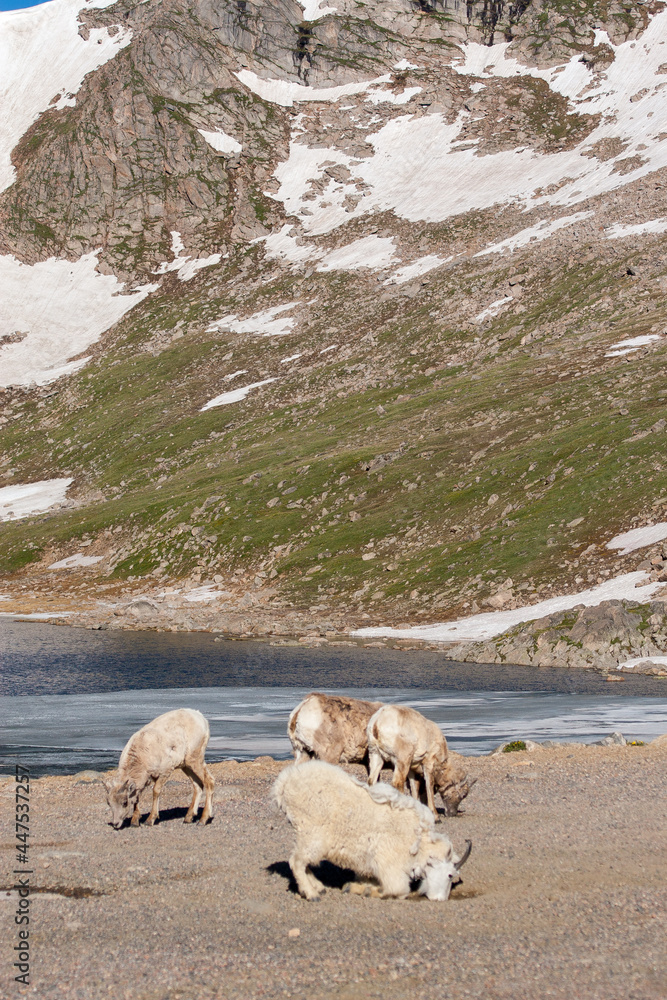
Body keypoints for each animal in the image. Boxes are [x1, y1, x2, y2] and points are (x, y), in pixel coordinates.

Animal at [273, 760, 472, 901]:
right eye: (450, 874)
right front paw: (370, 891)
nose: (439, 899)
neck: (419, 842)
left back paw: (318, 887)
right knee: (297, 861)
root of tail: (284, 783)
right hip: (312, 833)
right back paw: (311, 894)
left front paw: (356, 887)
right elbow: (399, 890)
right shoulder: (389, 862)